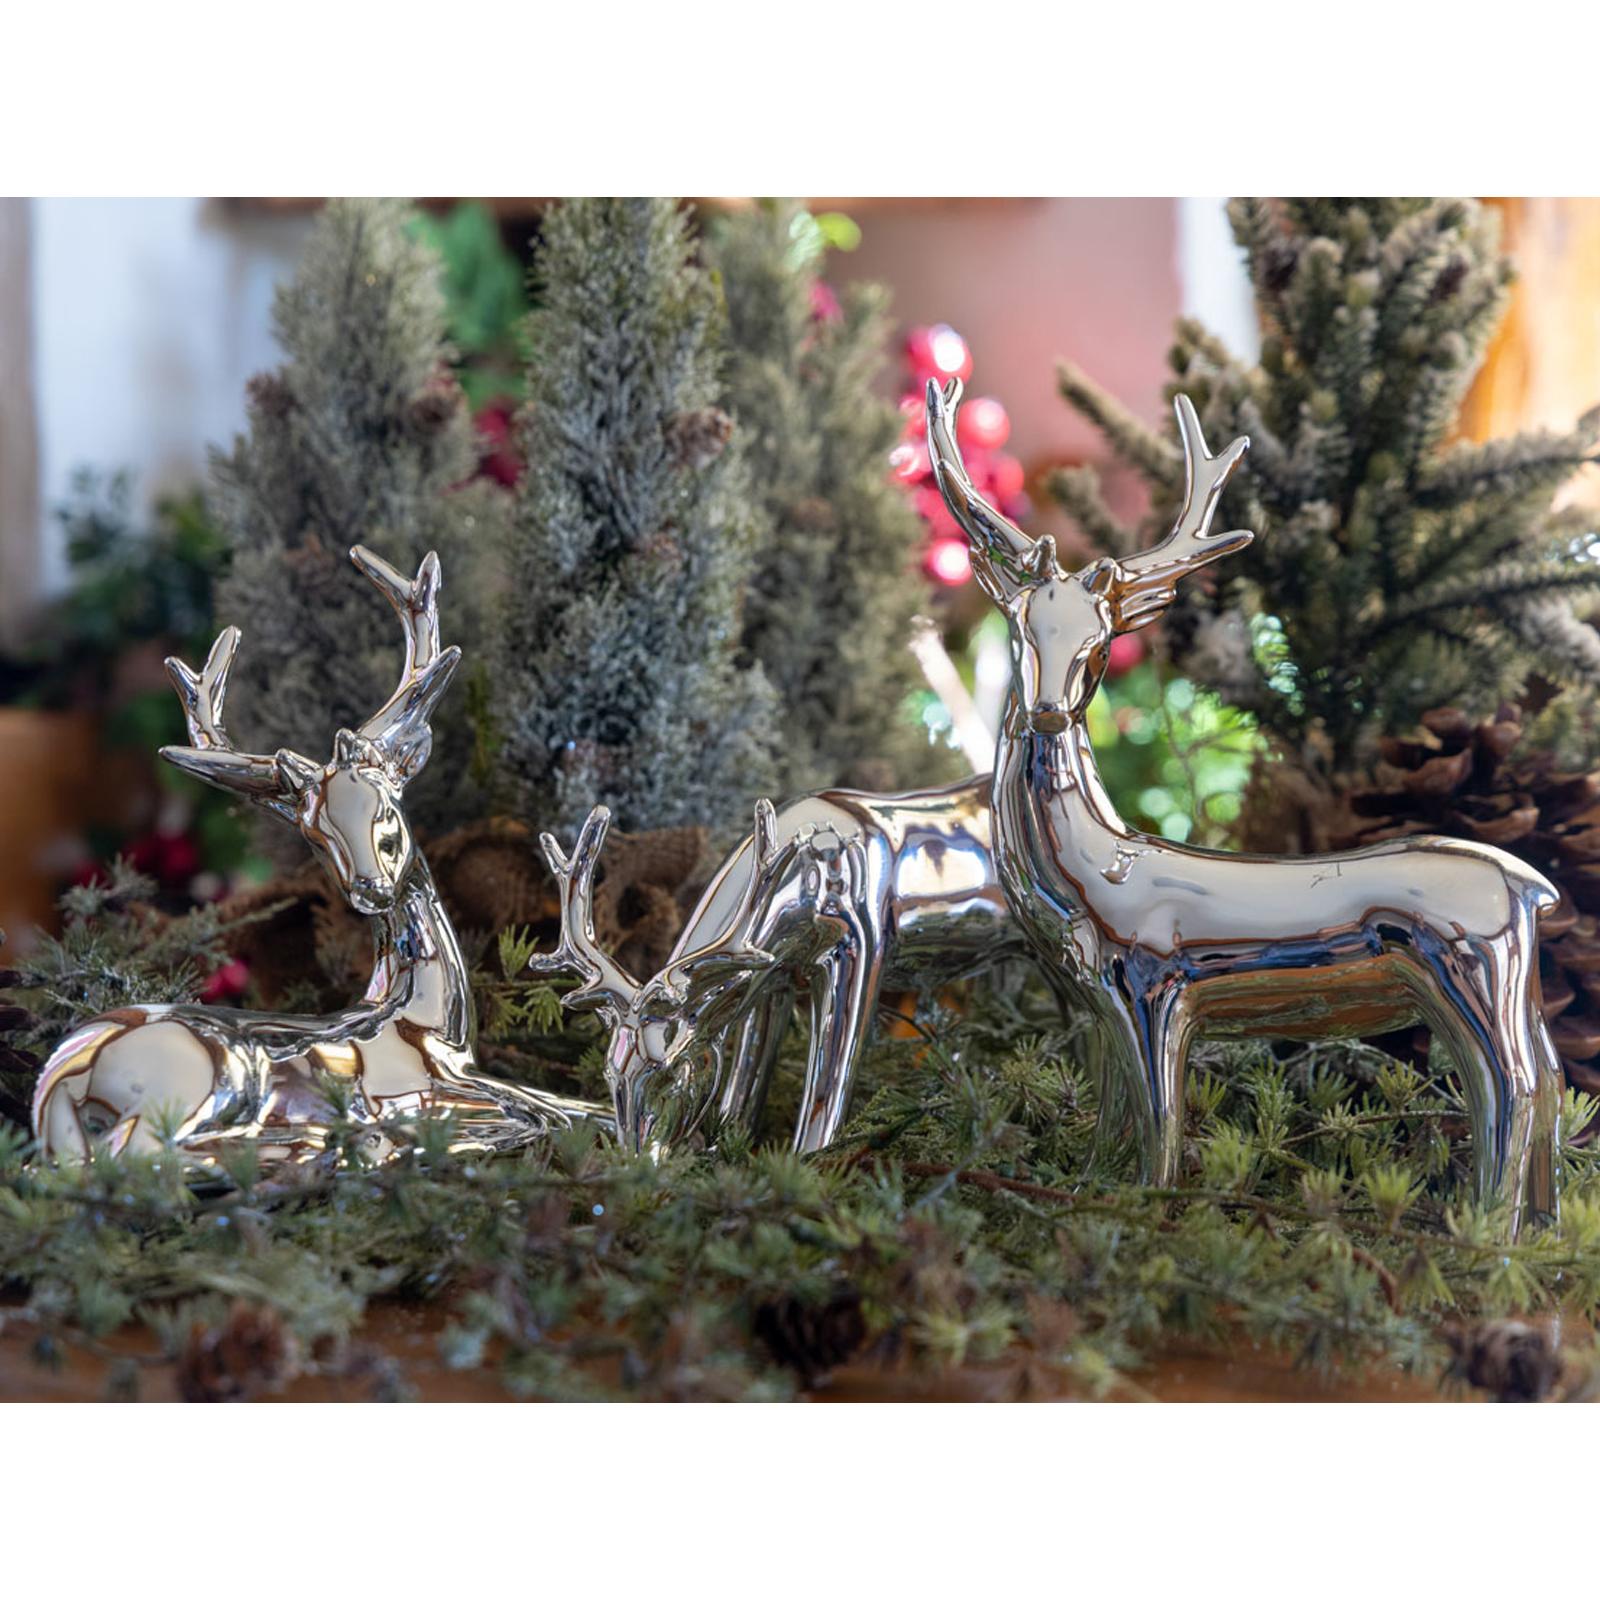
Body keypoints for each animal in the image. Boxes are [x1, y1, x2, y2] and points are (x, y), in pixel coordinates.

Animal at [32, 545, 608, 1172]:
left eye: (387, 808)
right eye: (316, 833)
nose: (370, 888)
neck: (430, 1025)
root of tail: (61, 1072)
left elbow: (575, 1106)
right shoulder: (413, 1086)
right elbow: (538, 1114)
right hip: (198, 1075)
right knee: (128, 1158)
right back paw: (325, 1146)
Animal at [531, 775, 1045, 1156]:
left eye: (667, 1073)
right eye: (610, 1075)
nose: (633, 1166)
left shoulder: (864, 946)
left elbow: (829, 1087)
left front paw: (810, 1163)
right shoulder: (772, 971)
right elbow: (747, 1071)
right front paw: (726, 1143)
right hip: (1009, 955)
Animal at [926, 372, 1564, 1237]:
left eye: (1098, 644)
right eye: (1023, 628)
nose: (1050, 712)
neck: (1092, 879)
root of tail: (1532, 886)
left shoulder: (1154, 979)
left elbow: (1159, 1114)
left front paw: (1150, 1206)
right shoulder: (1097, 1002)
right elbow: (1110, 1110)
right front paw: (1088, 1187)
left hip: (1470, 963)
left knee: (1513, 1086)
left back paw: (1484, 1230)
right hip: (1516, 982)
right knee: (1554, 1077)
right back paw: (1544, 1226)